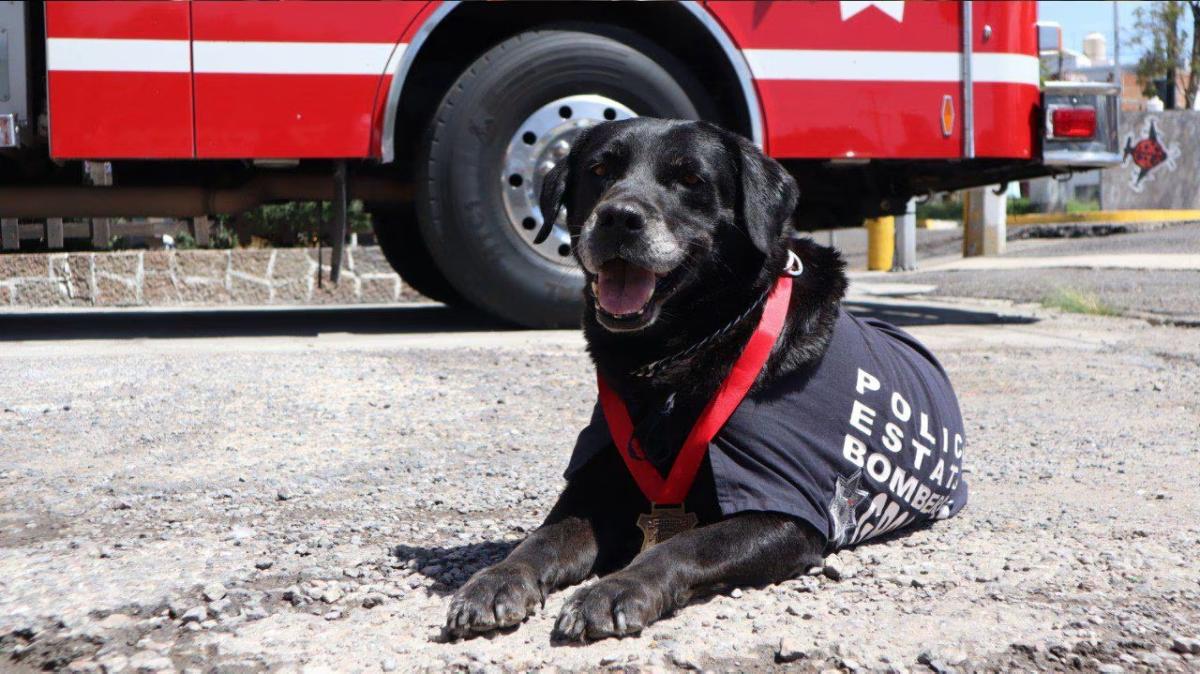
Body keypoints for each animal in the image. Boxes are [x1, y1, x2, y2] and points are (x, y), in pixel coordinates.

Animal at [444, 119, 964, 638]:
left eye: (691, 179)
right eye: (598, 170)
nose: (618, 217)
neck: (679, 357)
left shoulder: (783, 511)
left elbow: (682, 545)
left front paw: (616, 588)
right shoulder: (595, 487)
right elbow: (542, 538)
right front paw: (496, 580)